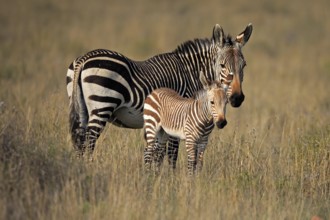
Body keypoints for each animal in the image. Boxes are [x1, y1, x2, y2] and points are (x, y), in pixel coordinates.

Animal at [66, 24, 253, 162]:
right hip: (102, 105)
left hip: (81, 108)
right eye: (222, 65)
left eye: (244, 65)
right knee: (89, 143)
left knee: (80, 142)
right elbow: (171, 155)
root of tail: (83, 60)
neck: (191, 72)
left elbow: (159, 154)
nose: (238, 98)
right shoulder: (180, 115)